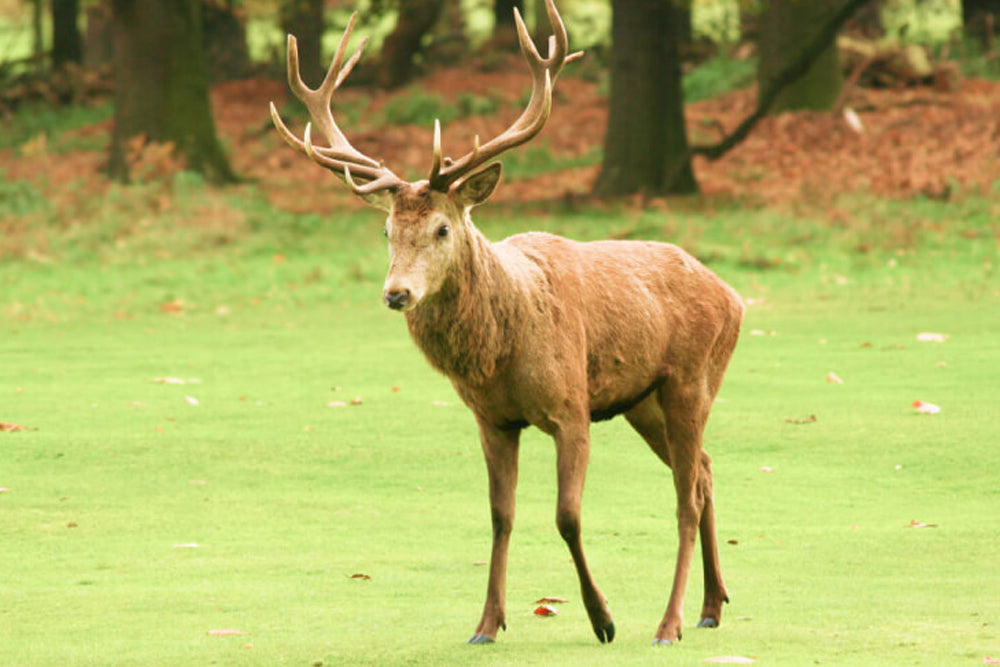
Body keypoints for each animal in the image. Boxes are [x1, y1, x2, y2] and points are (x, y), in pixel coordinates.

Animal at [269, 0, 744, 647]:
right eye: (386, 230)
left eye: (443, 227)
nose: (396, 292)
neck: (502, 351)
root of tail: (735, 297)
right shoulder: (492, 419)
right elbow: (500, 516)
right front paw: (486, 623)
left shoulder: (571, 406)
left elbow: (567, 515)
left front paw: (603, 618)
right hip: (642, 401)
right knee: (704, 472)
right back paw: (713, 605)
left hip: (691, 379)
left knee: (685, 497)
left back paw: (668, 623)